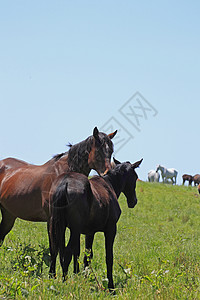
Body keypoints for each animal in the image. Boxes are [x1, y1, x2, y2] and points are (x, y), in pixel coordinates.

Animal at [48, 157, 142, 290]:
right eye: (135, 176)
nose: (133, 201)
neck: (109, 186)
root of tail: (64, 184)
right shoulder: (110, 229)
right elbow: (109, 257)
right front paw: (111, 286)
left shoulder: (89, 233)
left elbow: (87, 256)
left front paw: (85, 278)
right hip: (74, 230)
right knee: (66, 253)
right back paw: (64, 282)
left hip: (56, 226)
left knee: (55, 250)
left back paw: (53, 278)